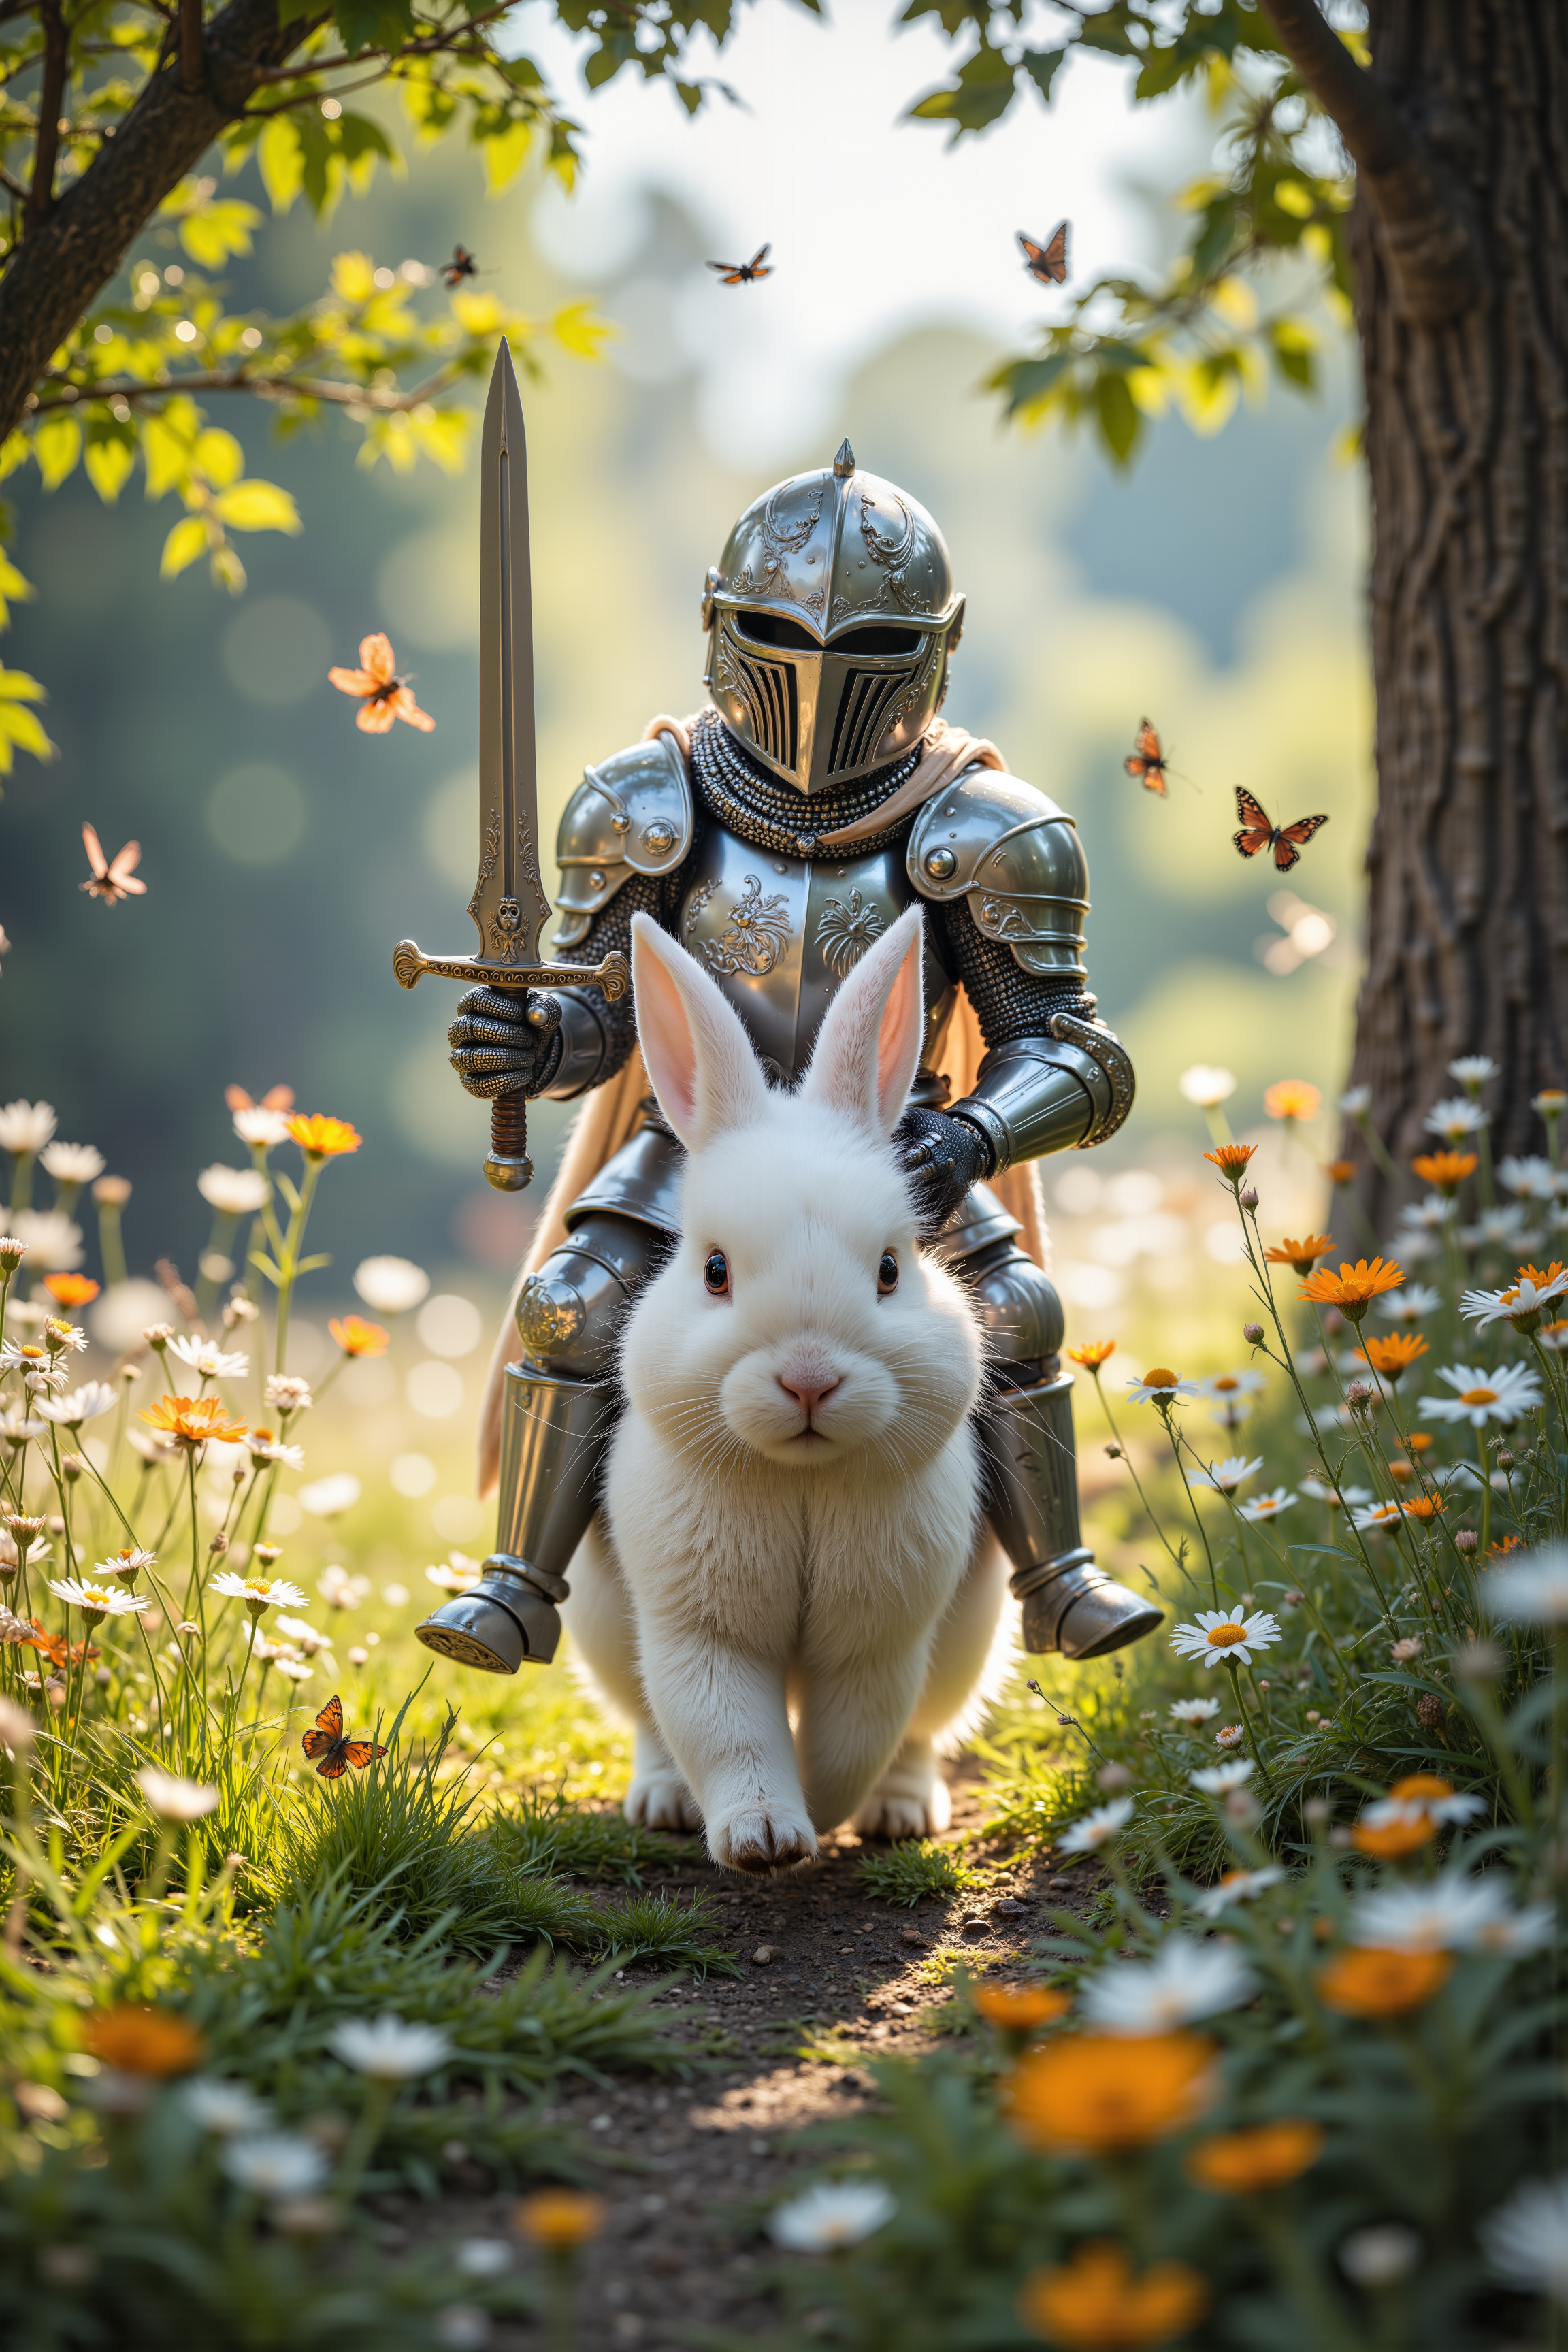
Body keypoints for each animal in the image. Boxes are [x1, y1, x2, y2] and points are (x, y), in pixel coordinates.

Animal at [564, 898, 1006, 1872]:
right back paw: (664, 1802)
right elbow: (726, 1727)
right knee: (652, 1723)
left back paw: (899, 1813)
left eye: (891, 1269)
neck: (802, 1480)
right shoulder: (698, 1628)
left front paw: (827, 1811)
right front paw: (764, 1837)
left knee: (921, 1733)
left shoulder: (884, 1635)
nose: (808, 1381)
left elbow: (854, 1732)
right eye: (715, 1271)